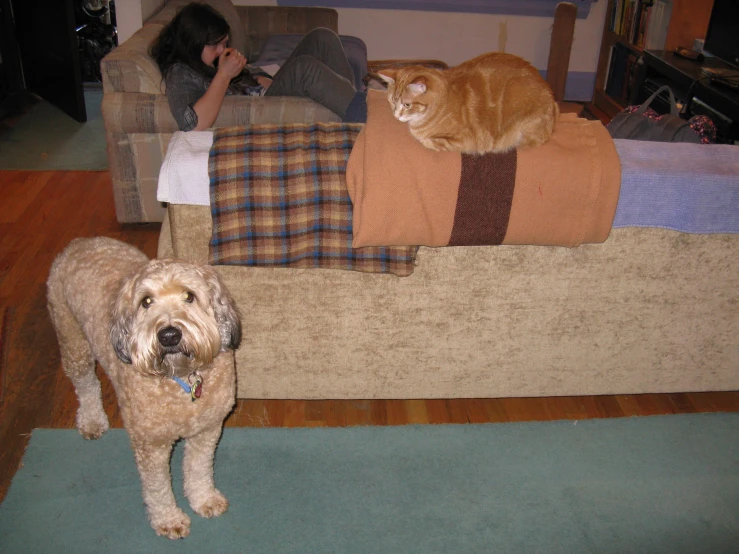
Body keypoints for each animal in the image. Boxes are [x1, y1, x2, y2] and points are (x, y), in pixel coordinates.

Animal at [46, 236, 241, 536]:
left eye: (190, 296)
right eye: (146, 301)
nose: (169, 335)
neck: (181, 380)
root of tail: (82, 242)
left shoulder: (207, 429)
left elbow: (198, 469)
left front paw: (204, 499)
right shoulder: (151, 444)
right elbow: (158, 488)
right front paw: (168, 519)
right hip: (72, 341)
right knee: (86, 385)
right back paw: (92, 420)